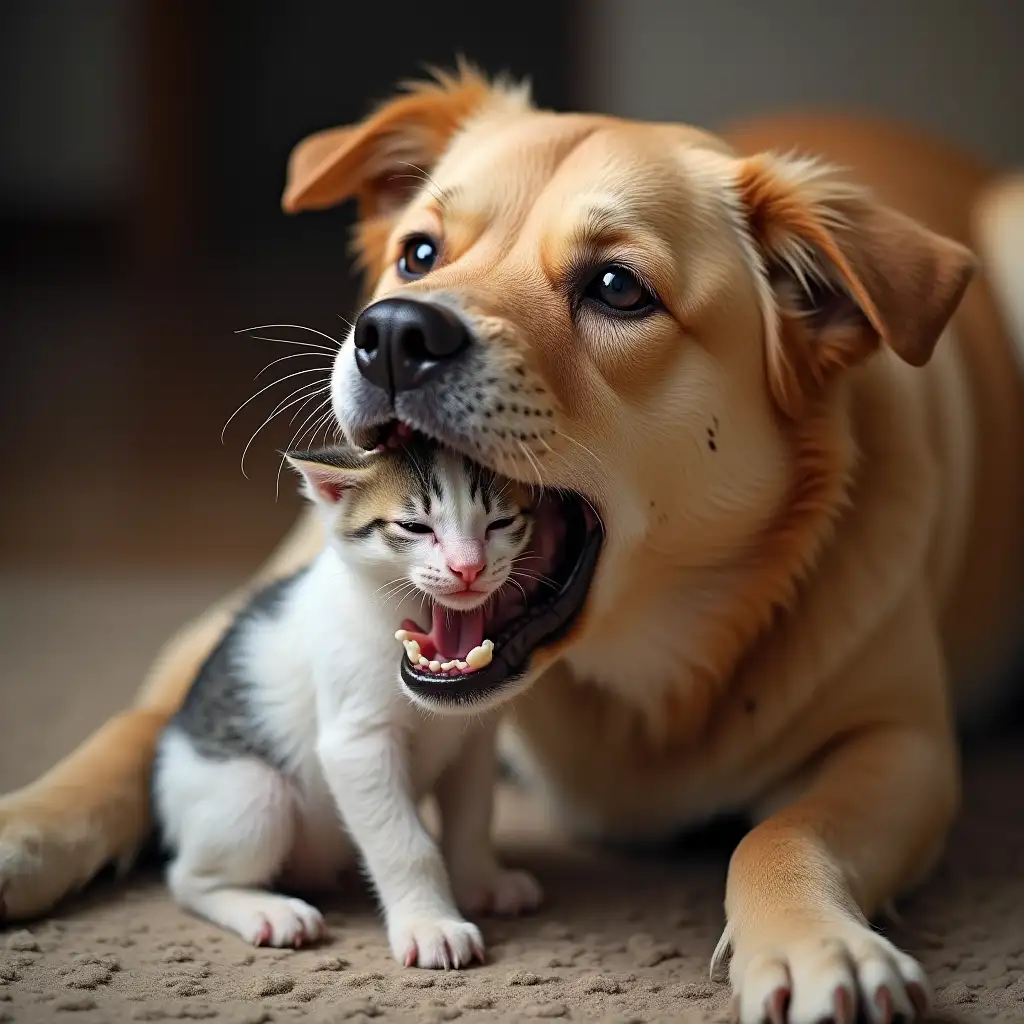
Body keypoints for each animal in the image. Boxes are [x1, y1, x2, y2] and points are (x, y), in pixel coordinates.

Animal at [153, 440, 544, 966]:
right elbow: (405, 844)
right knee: (185, 879)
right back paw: (267, 910)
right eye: (415, 527)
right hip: (251, 790)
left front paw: (481, 881)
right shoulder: (356, 745)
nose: (469, 568)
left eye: (499, 523)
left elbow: (473, 815)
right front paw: (430, 925)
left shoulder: (475, 737)